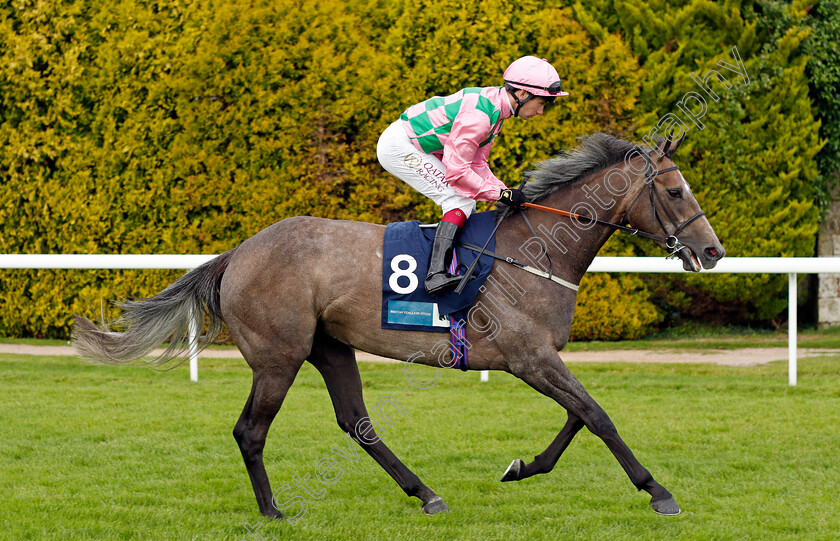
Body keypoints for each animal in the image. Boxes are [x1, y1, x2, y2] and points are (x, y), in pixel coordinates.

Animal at [75, 132, 724, 520]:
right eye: (674, 190)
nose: (712, 251)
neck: (538, 248)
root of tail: (238, 253)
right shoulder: (529, 358)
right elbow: (596, 415)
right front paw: (659, 492)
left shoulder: (539, 357)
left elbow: (580, 416)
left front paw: (522, 467)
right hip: (279, 357)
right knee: (250, 432)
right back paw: (273, 511)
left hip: (330, 347)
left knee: (356, 424)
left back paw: (425, 493)